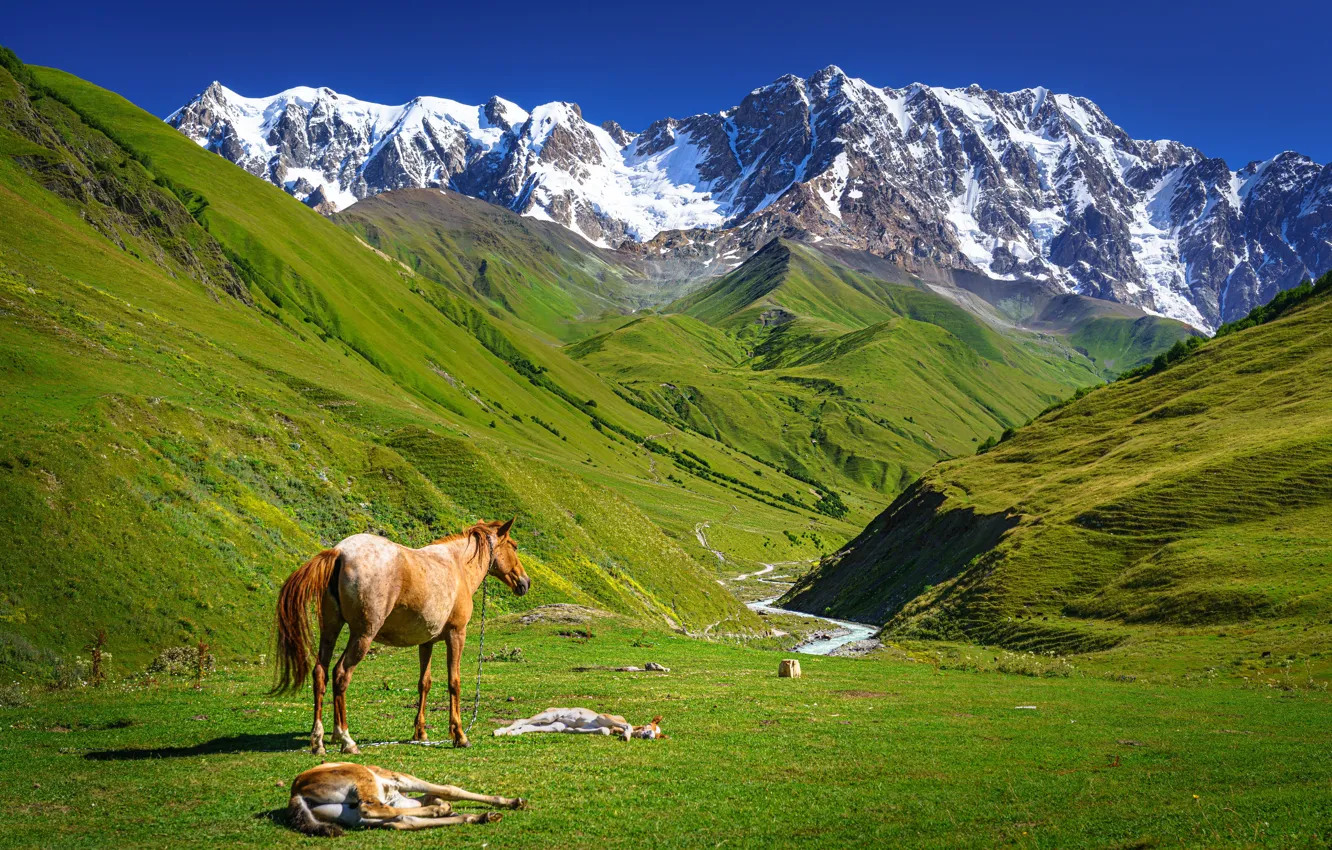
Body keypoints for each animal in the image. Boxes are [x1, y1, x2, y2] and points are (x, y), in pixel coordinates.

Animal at [272, 518, 530, 754]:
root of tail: (340, 552)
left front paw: (420, 732)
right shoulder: (457, 635)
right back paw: (346, 739)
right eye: (515, 546)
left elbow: (424, 683)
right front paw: (459, 735)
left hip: (330, 631)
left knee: (320, 674)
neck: (457, 566)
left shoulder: (426, 643)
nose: (525, 582)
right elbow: (454, 682)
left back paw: (319, 741)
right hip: (362, 636)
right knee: (341, 675)